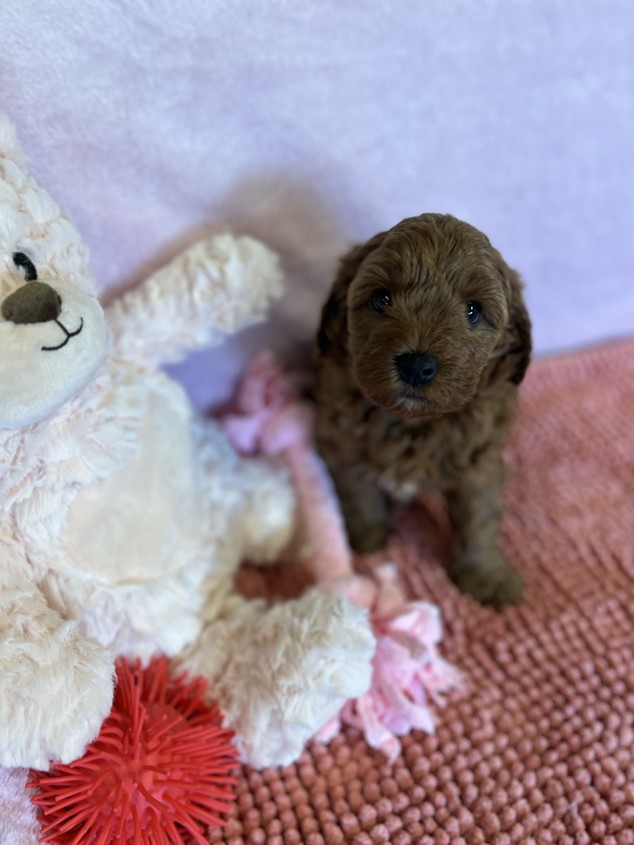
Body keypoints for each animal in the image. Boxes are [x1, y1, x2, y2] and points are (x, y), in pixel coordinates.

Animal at [314, 211, 528, 608]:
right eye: (381, 299)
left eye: (473, 311)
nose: (416, 366)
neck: (413, 422)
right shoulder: (340, 437)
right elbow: (357, 492)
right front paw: (366, 535)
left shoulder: (479, 461)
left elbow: (478, 518)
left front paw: (486, 575)